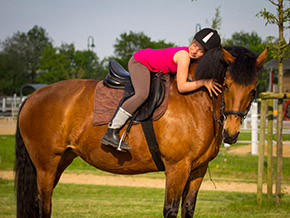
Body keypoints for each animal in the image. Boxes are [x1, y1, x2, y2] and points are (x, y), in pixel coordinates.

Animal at [14, 46, 266, 218]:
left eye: (253, 90)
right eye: (226, 85)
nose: (231, 133)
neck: (194, 100)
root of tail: (31, 97)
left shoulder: (197, 170)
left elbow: (188, 208)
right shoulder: (177, 168)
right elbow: (170, 209)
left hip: (59, 162)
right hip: (46, 166)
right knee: (43, 205)